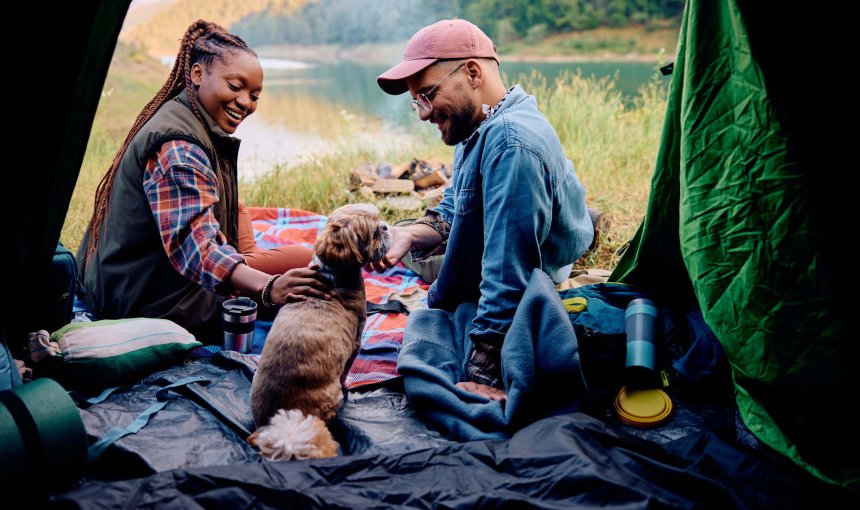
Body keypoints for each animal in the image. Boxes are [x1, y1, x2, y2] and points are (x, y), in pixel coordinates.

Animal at [247, 204, 392, 462]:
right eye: (375, 233)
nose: (385, 226)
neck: (332, 275)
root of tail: (281, 428)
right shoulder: (355, 342)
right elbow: (347, 369)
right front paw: (349, 383)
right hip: (330, 396)